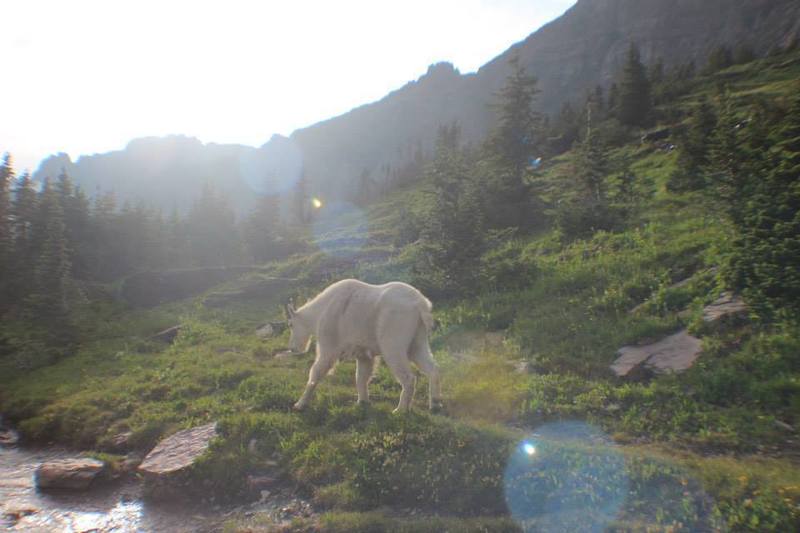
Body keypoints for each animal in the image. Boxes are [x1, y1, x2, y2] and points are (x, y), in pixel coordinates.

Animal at [286, 278, 440, 412]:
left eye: (291, 324)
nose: (292, 348)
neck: (319, 312)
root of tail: (421, 304)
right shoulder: (363, 352)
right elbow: (361, 375)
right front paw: (362, 401)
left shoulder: (329, 341)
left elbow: (318, 370)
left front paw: (300, 404)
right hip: (418, 338)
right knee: (431, 367)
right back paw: (435, 403)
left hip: (393, 337)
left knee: (407, 375)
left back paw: (401, 409)